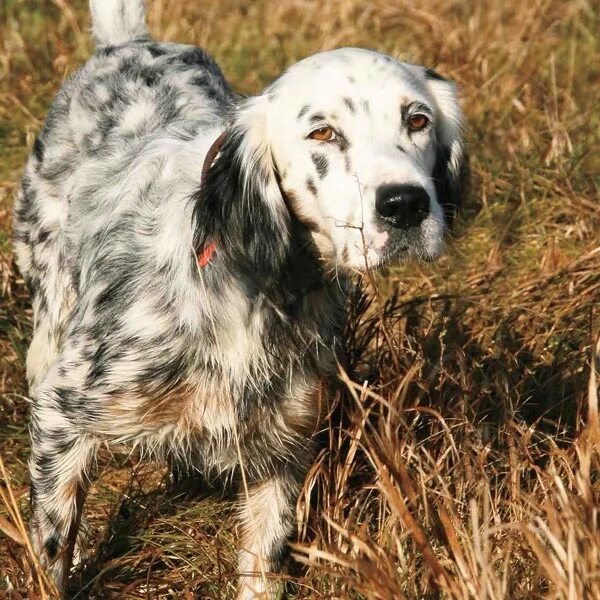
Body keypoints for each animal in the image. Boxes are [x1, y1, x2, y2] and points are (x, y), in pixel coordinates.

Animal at [11, 2, 466, 596]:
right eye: (322, 132)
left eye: (417, 120)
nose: (405, 204)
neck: (259, 285)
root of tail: (127, 45)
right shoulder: (63, 408)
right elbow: (50, 545)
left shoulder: (286, 442)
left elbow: (264, 559)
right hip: (47, 327)